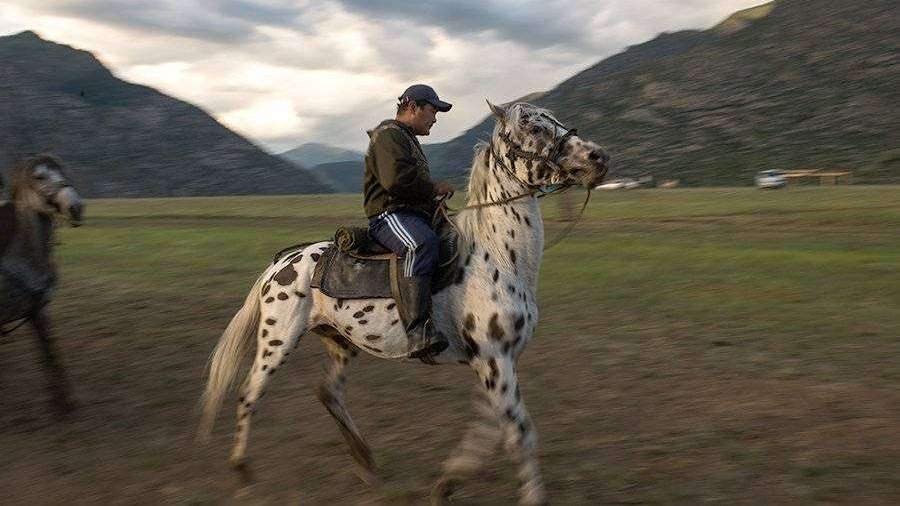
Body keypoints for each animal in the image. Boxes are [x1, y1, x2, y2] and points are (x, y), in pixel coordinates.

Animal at [1, 154, 83, 416]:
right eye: (39, 177)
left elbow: (49, 351)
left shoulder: (37, 309)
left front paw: (63, 402)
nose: (76, 207)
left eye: (62, 171)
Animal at [201, 101, 612, 504]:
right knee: (249, 393)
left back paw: (366, 465)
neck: (495, 256)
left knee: (329, 392)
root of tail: (282, 262)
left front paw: (447, 483)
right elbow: (520, 433)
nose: (599, 156)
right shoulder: (494, 359)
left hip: (341, 342)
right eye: (534, 127)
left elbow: (491, 428)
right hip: (278, 341)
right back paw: (242, 472)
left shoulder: (498, 360)